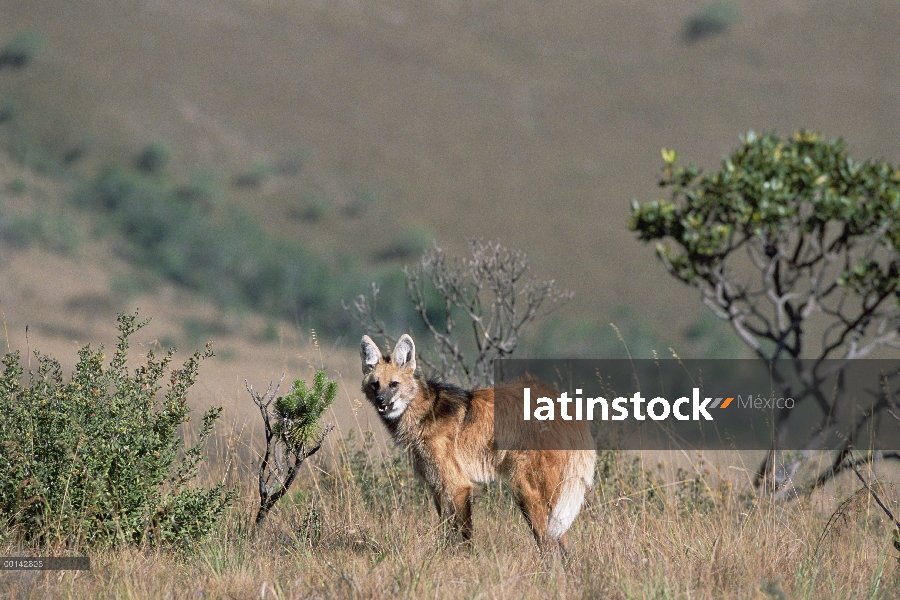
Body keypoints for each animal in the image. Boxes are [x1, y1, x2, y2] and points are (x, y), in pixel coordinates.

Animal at [358, 336, 596, 552]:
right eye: (375, 385)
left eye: (394, 384)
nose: (380, 401)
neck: (423, 413)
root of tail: (564, 403)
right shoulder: (437, 486)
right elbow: (446, 528)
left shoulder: (458, 485)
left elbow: (464, 534)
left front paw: (465, 560)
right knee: (562, 539)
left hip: (526, 488)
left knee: (547, 539)